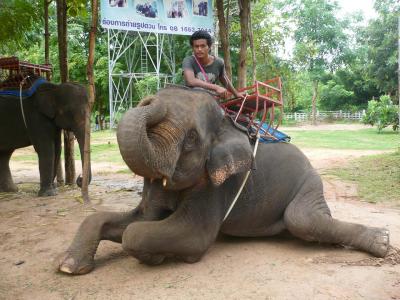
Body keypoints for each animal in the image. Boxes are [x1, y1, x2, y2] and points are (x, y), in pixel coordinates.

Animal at [57, 86, 390, 274]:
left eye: (191, 139)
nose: (149, 99)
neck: (226, 123)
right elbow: (136, 218)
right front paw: (68, 267)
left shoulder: (218, 185)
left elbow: (160, 232)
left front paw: (161, 258)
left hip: (309, 183)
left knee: (302, 220)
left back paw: (383, 242)